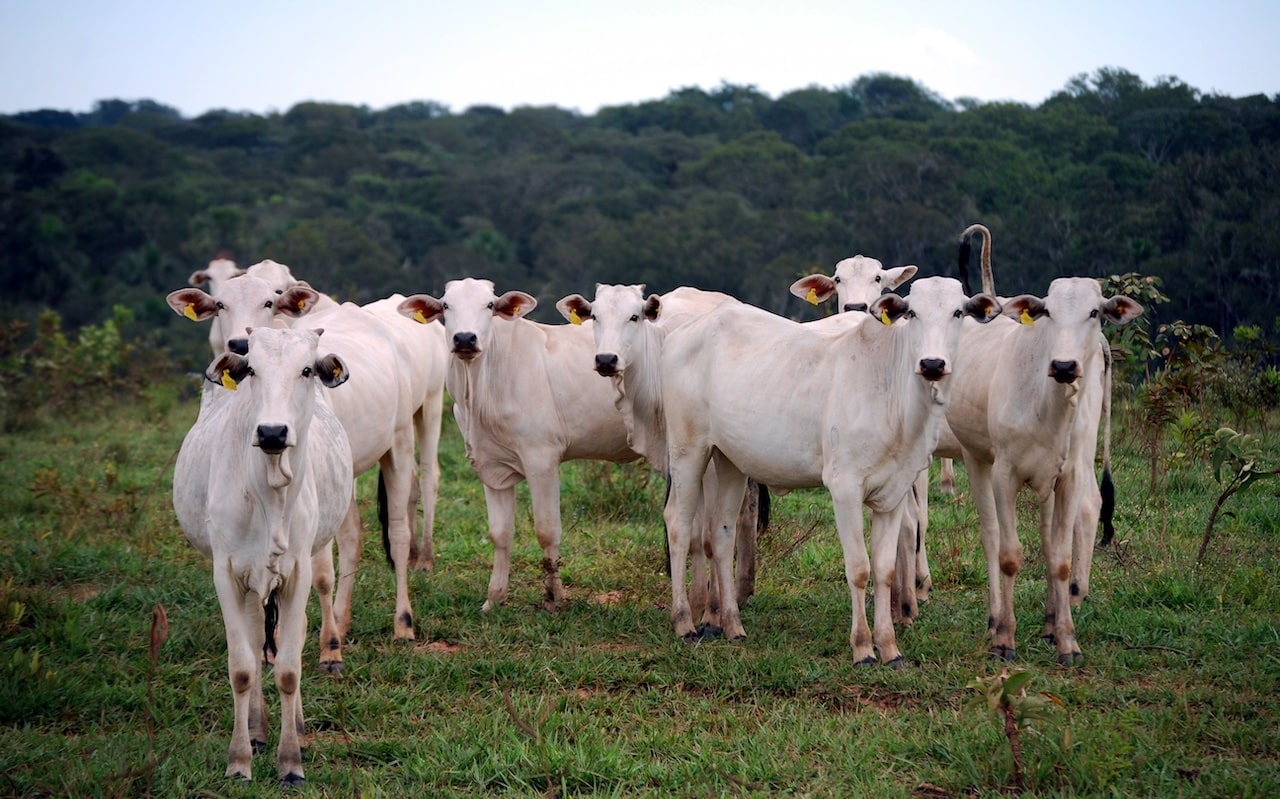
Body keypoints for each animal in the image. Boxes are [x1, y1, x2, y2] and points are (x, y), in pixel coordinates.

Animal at [172, 327, 355, 783]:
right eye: (252, 370)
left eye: (306, 370)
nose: (272, 432)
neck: (269, 494)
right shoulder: (227, 575)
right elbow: (242, 667)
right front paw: (239, 759)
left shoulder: (297, 574)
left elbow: (288, 668)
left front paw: (290, 762)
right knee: (256, 646)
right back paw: (256, 729)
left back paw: (299, 729)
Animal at [399, 277, 640, 614]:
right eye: (446, 305)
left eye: (489, 305)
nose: (465, 338)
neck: (478, 395)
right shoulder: (490, 465)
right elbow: (500, 533)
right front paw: (494, 598)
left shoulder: (542, 459)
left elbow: (547, 530)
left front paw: (553, 597)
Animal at [555, 284, 762, 632]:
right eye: (594, 315)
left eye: (634, 316)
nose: (606, 359)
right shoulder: (676, 460)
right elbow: (693, 535)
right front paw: (696, 604)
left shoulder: (707, 462)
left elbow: (711, 535)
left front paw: (713, 614)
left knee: (746, 511)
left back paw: (740, 591)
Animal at [660, 277, 998, 665]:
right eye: (912, 313)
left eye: (958, 312)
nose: (932, 363)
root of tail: (683, 331)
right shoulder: (844, 487)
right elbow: (860, 568)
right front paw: (863, 648)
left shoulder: (895, 492)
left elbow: (884, 569)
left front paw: (890, 648)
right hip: (688, 450)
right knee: (679, 524)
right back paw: (684, 622)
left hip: (730, 459)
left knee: (721, 531)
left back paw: (732, 625)